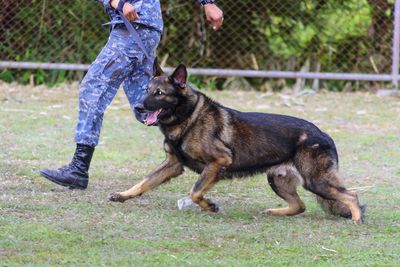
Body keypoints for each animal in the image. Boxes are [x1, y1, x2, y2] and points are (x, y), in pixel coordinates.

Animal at [108, 60, 364, 224]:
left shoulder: (218, 161)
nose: (138, 107)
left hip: (316, 182)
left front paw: (210, 206)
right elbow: (144, 182)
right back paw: (274, 212)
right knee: (299, 206)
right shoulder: (173, 164)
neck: (188, 117)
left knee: (351, 195)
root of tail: (323, 134)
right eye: (146, 89)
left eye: (159, 93)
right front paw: (123, 195)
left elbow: (195, 192)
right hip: (277, 180)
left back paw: (356, 219)